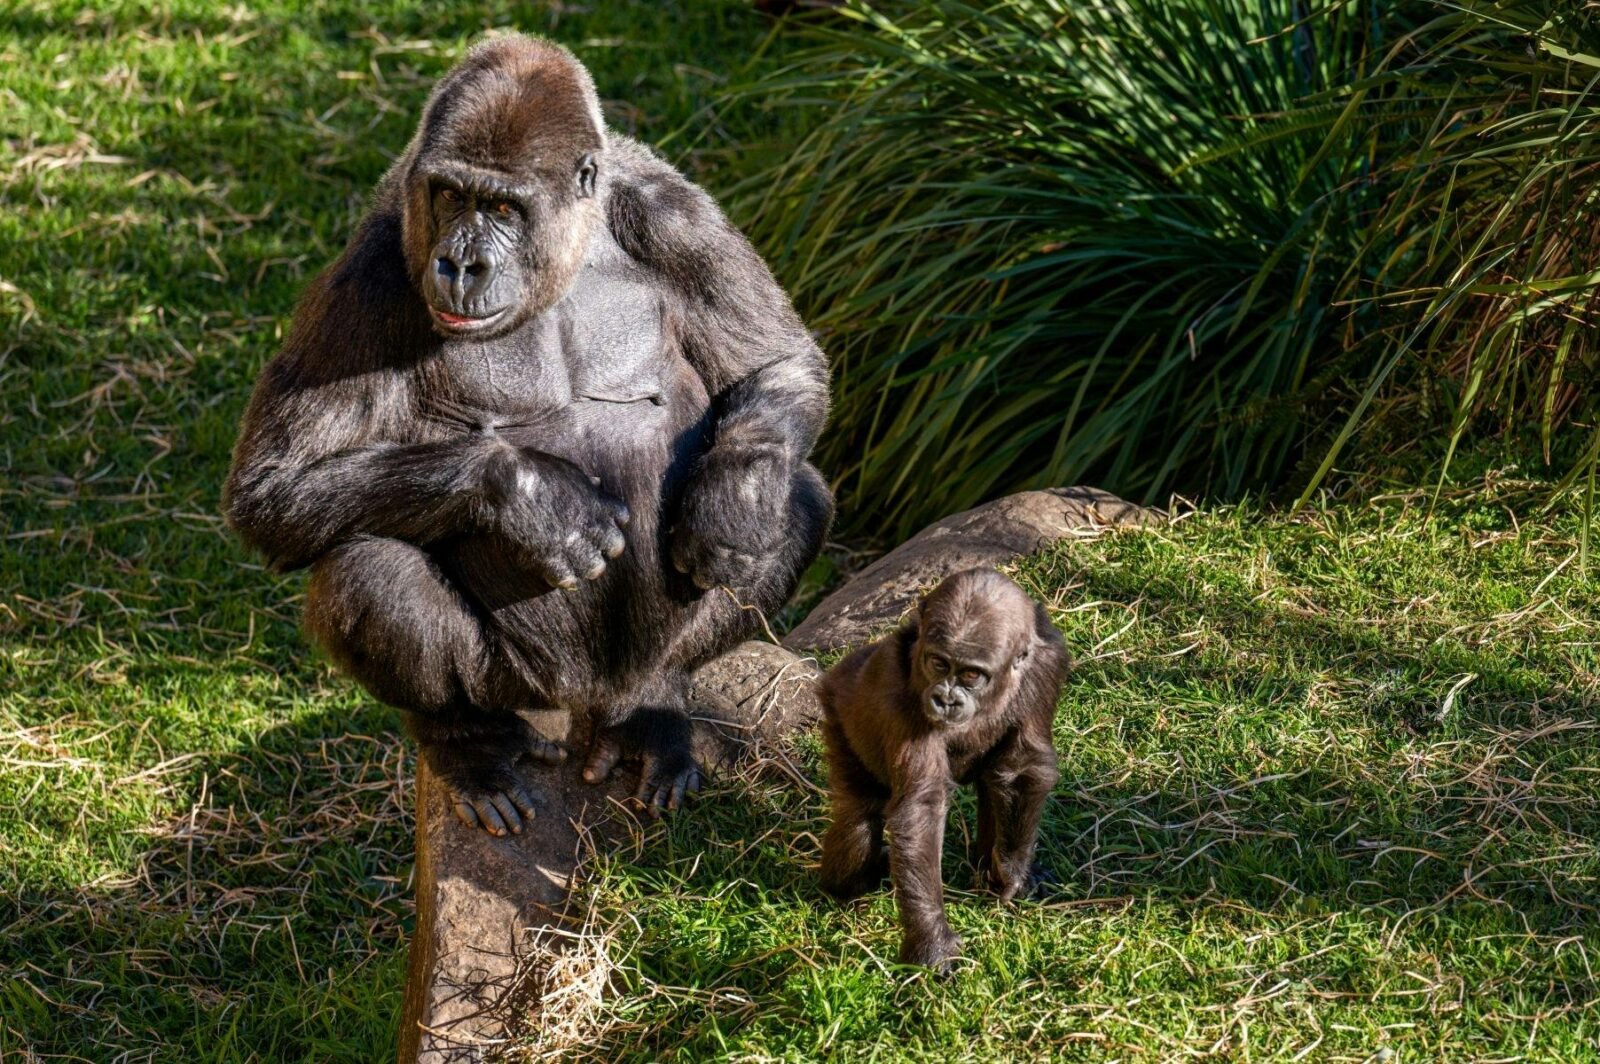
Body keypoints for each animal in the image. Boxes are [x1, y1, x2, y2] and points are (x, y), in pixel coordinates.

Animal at [224, 35, 832, 835]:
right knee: (367, 570)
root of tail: (584, 697)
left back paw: (656, 701)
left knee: (799, 495)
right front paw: (532, 498)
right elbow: (274, 489)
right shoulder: (368, 274)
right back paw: (467, 742)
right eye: (451, 196)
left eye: (504, 207)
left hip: (619, 678)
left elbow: (776, 364)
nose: (460, 262)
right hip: (520, 682)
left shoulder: (678, 215)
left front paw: (731, 502)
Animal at [818, 568, 1067, 974]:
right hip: (837, 708)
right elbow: (921, 809)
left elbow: (1020, 767)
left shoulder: (1048, 663)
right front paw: (932, 943)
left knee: (992, 782)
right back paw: (848, 886)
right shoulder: (898, 700)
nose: (946, 699)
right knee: (859, 813)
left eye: (971, 674)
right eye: (938, 663)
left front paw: (1013, 871)